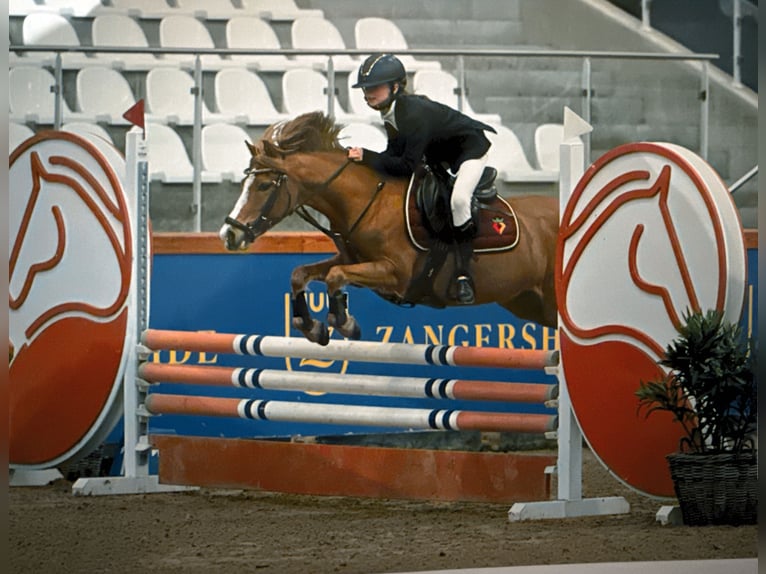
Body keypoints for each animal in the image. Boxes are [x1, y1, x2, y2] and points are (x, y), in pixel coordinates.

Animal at [219, 112, 559, 345]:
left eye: (264, 186)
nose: (229, 235)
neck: (366, 201)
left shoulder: (396, 273)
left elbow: (334, 277)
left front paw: (344, 323)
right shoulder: (353, 261)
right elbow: (301, 274)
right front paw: (312, 327)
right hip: (525, 301)